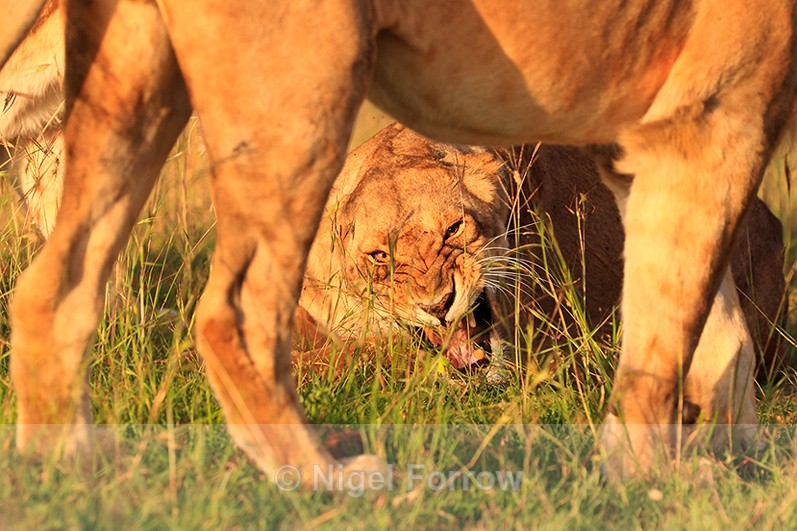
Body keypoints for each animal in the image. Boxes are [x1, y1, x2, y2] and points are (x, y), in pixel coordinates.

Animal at [3, 0, 797, 482]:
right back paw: (320, 480)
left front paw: (719, 458)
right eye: (380, 257)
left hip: (131, 85)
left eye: (453, 227)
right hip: (304, 94)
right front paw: (652, 477)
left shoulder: (649, 144)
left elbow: (711, 330)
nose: (441, 304)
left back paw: (72, 470)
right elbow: (666, 341)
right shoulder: (714, 116)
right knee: (233, 315)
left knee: (54, 286)